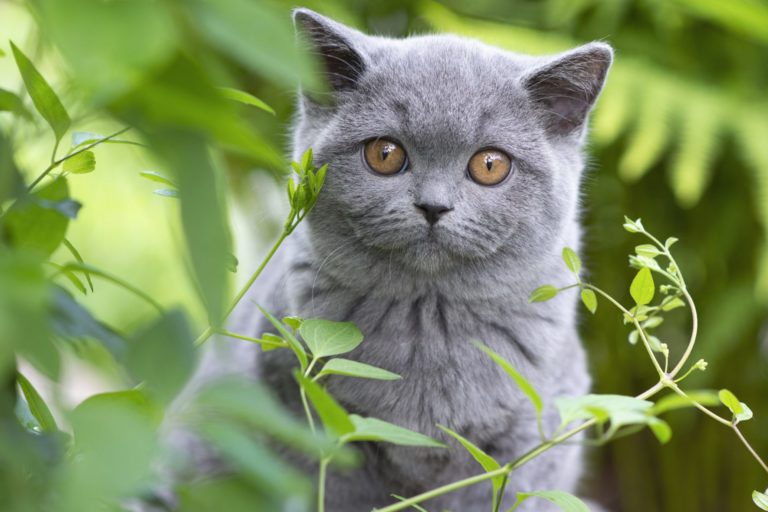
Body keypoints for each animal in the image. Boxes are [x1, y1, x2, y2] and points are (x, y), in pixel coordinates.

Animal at [226, 8, 612, 512]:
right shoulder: (304, 409)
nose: (433, 206)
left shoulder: (530, 440)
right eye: (385, 154)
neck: (429, 319)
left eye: (490, 165)